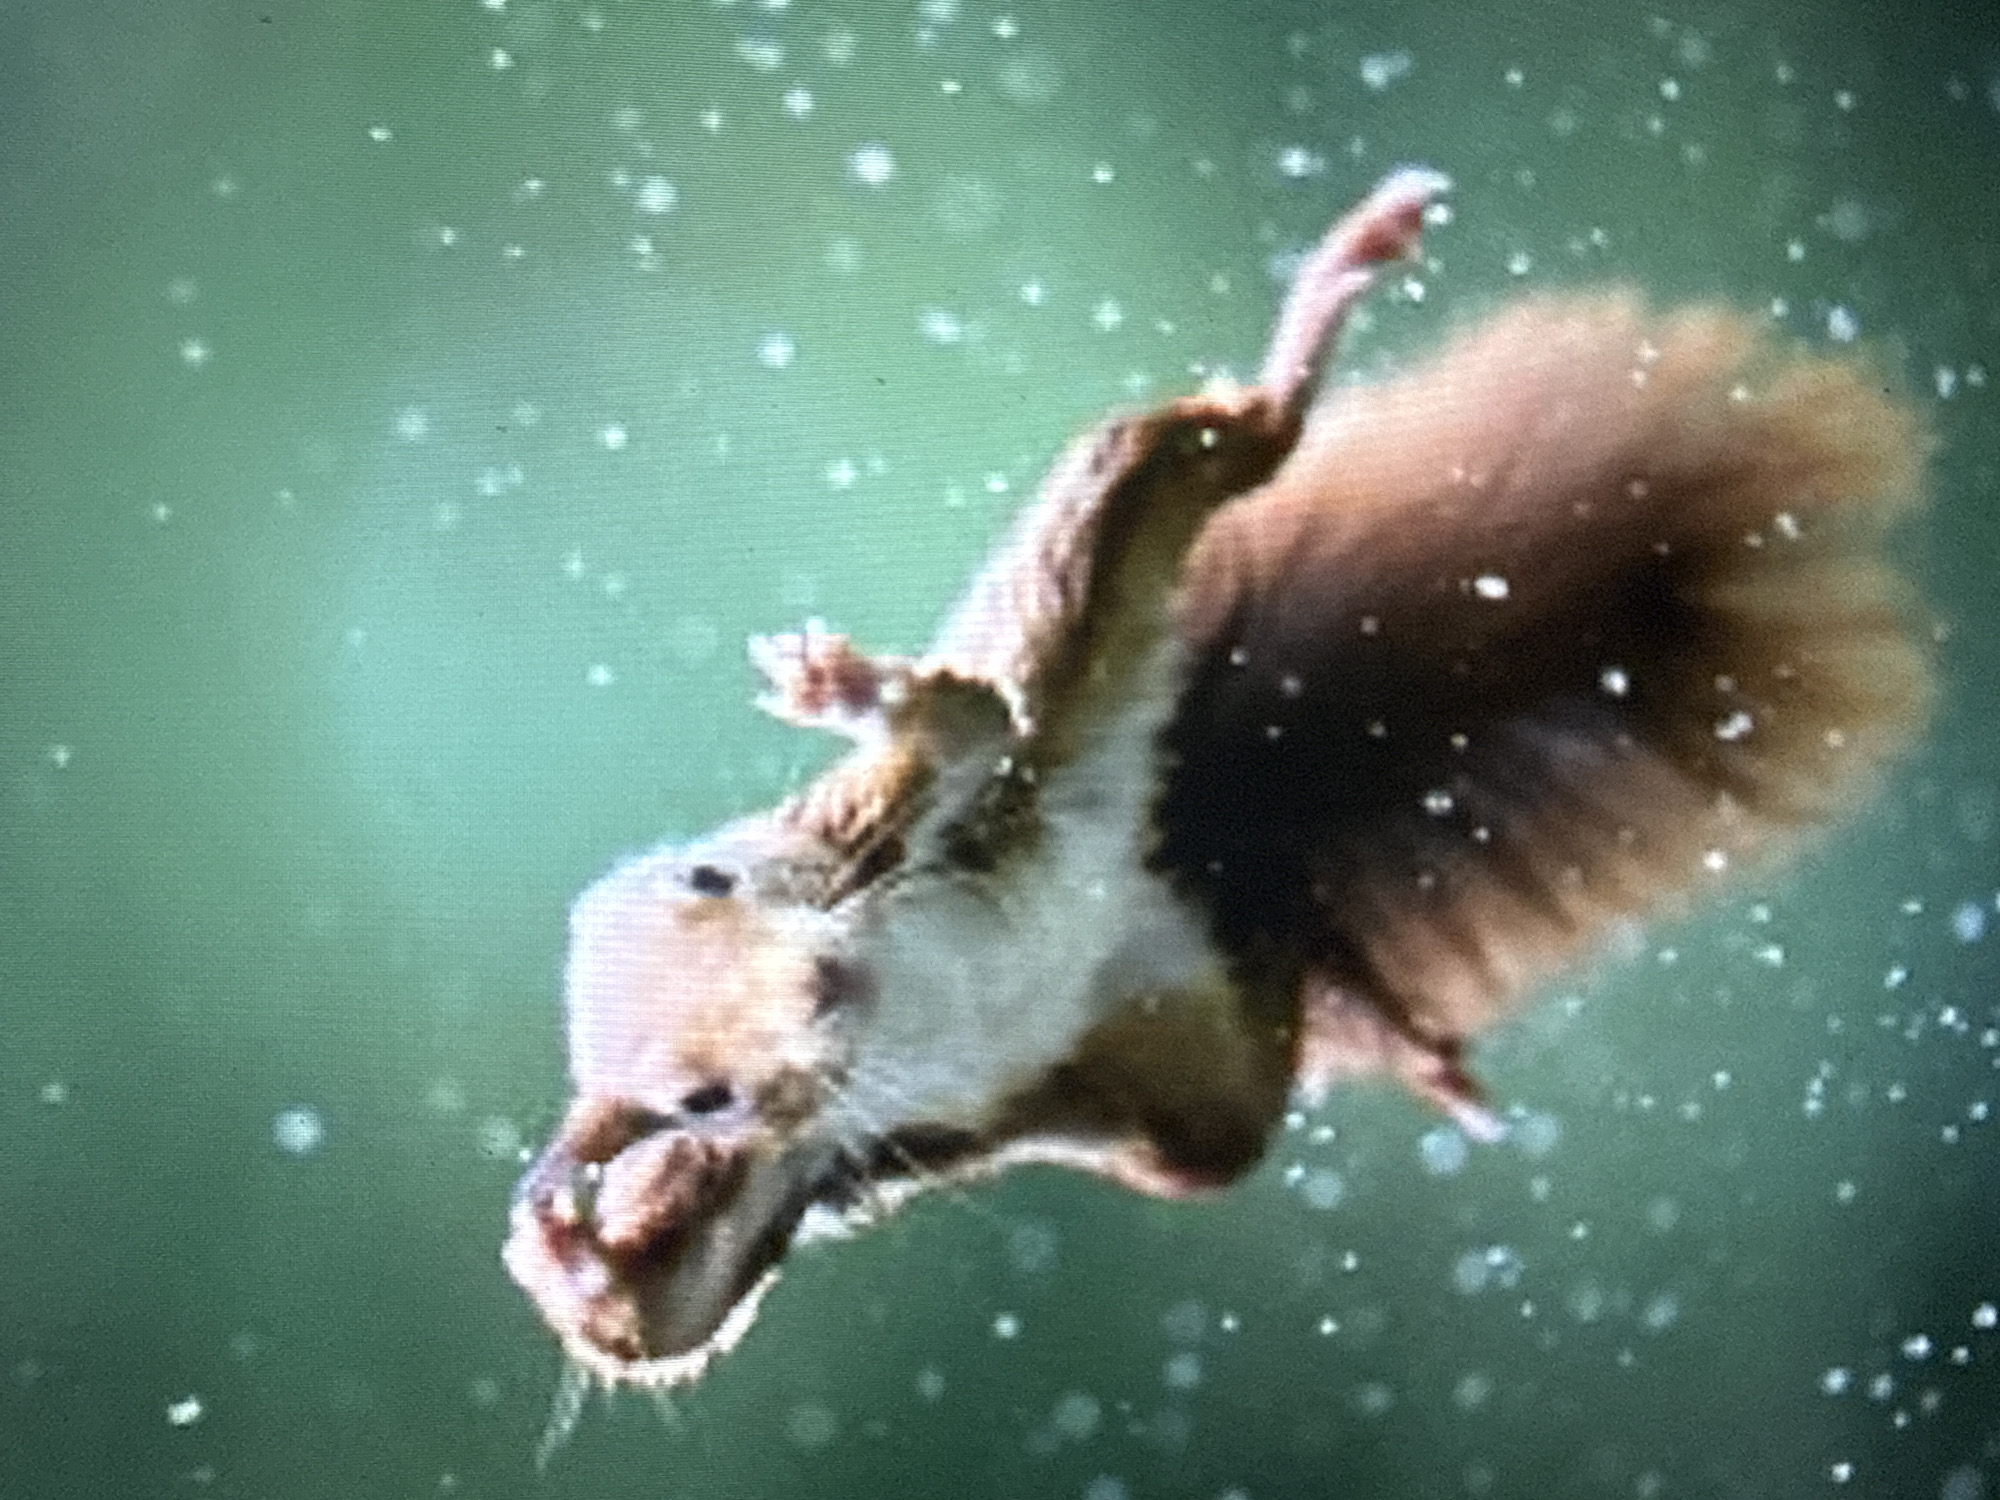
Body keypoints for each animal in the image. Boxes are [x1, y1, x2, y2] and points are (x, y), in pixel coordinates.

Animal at [503, 168, 1930, 1390]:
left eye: (714, 878)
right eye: (696, 1097)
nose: (814, 992)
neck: (879, 986)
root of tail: (1194, 841)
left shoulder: (892, 829)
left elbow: (965, 719)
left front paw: (846, 685)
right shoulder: (785, 1153)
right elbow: (670, 1313)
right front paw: (561, 1241)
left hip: (1099, 546)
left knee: (1228, 440)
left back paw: (1339, 276)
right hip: (1178, 1096)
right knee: (1261, 1055)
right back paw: (1409, 1046)